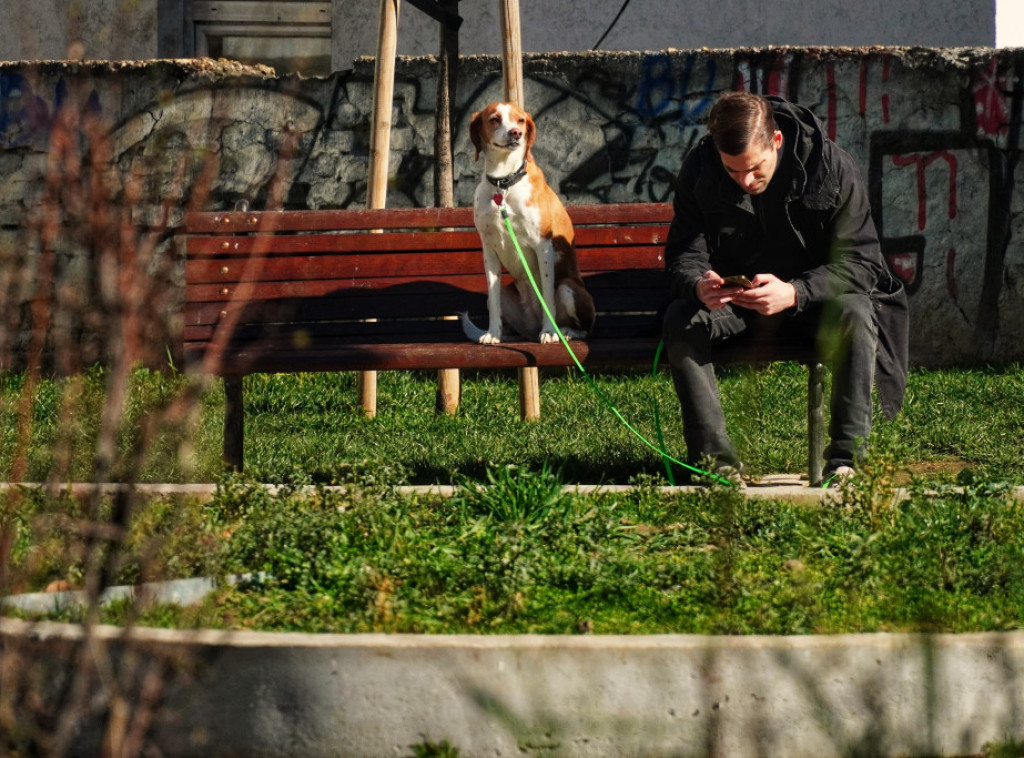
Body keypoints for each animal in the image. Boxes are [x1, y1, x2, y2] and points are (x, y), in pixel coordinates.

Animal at [462, 100, 598, 344]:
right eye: (495, 119)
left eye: (520, 120)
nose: (516, 132)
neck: (504, 184)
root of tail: (530, 331)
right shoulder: (489, 249)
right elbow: (493, 301)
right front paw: (492, 334)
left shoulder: (543, 246)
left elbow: (547, 297)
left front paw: (549, 332)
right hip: (507, 296)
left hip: (568, 287)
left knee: (584, 327)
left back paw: (564, 332)